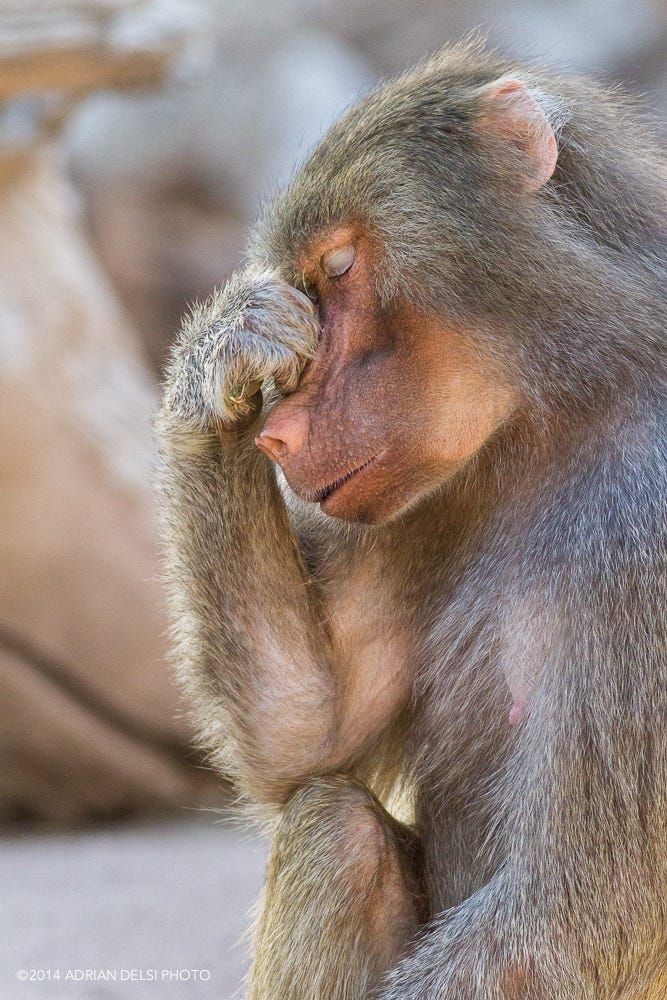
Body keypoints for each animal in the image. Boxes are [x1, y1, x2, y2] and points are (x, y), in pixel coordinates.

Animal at [156, 40, 666, 1000]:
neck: (566, 401)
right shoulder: (409, 498)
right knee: (334, 830)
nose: (279, 435)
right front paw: (223, 359)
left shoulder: (646, 526)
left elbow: (577, 912)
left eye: (339, 268)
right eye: (308, 288)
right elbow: (309, 730)